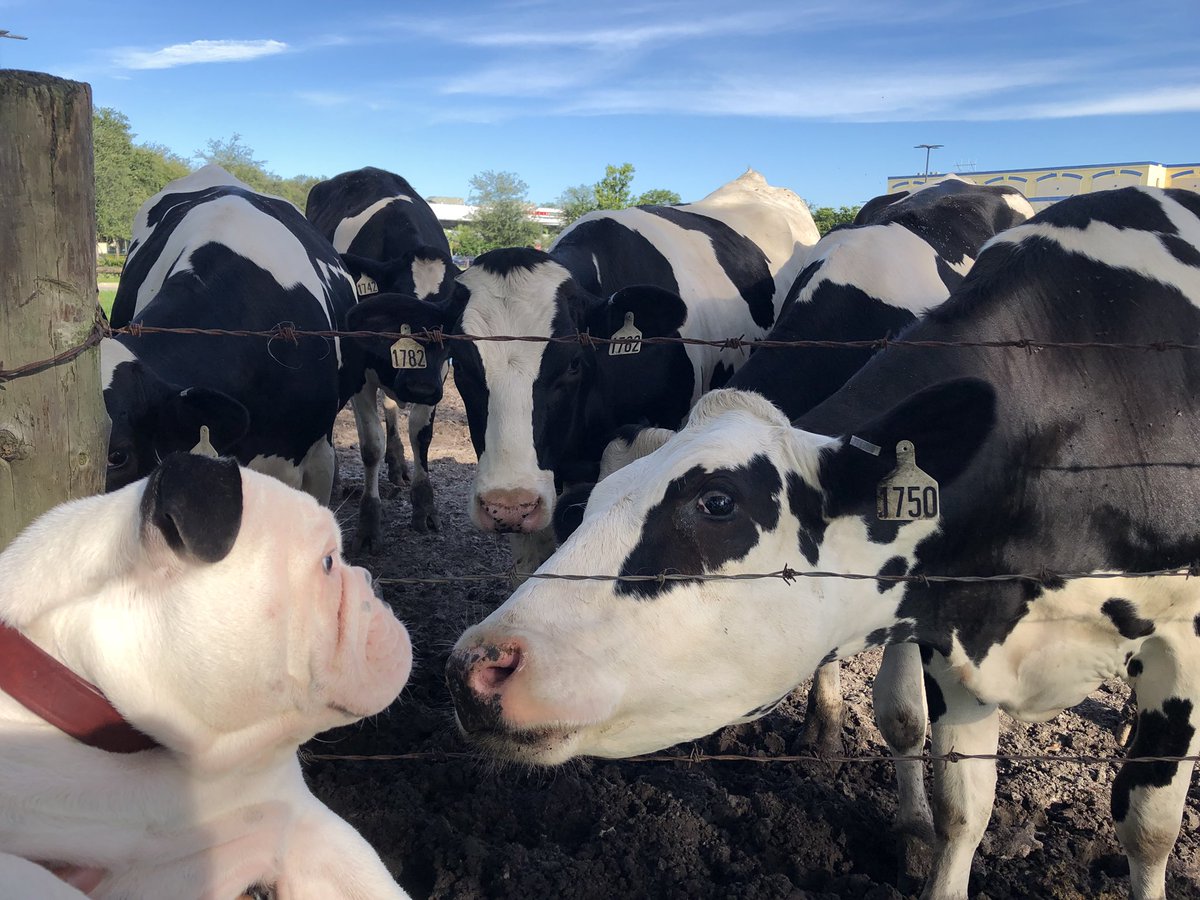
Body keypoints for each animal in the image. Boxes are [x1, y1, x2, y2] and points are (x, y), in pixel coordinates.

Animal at [304, 165, 458, 547]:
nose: (419, 387)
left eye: (451, 313)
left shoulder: (440, 373)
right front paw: (369, 522)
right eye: (394, 303)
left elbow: (421, 434)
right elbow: (370, 444)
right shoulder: (359, 371)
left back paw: (398, 461)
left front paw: (424, 506)